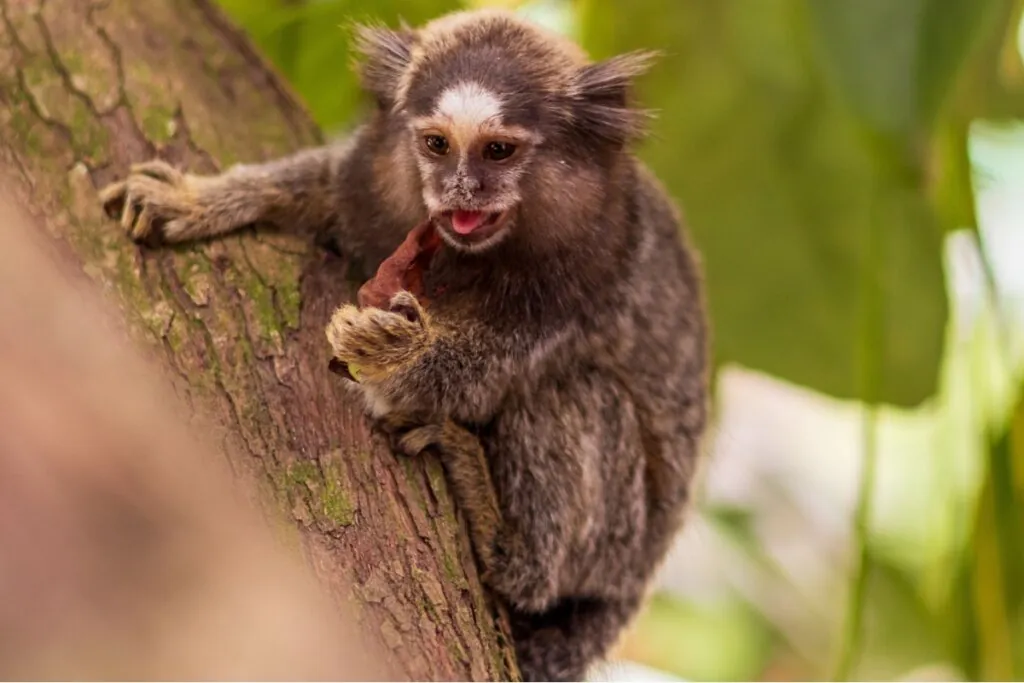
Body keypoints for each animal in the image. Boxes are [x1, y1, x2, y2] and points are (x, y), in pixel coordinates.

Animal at [98, 9, 710, 681]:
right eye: (437, 144)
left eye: (498, 150)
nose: (460, 189)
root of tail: (627, 587)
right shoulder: (366, 182)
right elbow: (315, 184)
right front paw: (199, 198)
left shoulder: (587, 276)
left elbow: (473, 375)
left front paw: (392, 352)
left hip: (611, 545)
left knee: (574, 397)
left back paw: (497, 529)